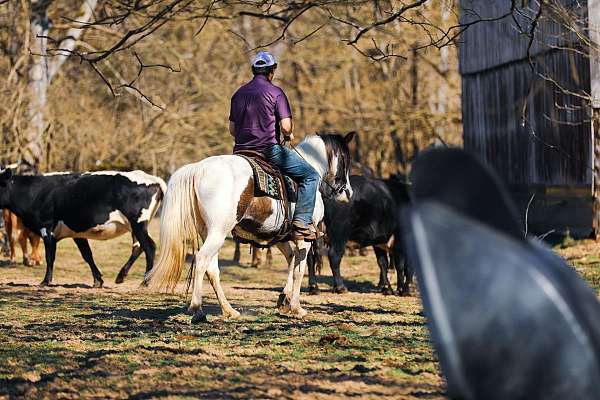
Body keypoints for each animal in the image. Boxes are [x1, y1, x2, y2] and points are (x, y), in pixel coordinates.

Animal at [0, 168, 164, 288]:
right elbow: (87, 255)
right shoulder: (77, 233)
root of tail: (151, 178)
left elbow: (50, 257)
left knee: (149, 247)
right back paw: (121, 276)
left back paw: (145, 281)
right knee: (138, 247)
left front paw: (46, 281)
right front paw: (98, 280)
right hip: (135, 226)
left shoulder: (47, 229)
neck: (35, 192)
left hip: (138, 223)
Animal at [147, 134, 354, 322]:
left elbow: (291, 261)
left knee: (211, 269)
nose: (348, 193)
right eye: (345, 158)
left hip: (208, 232)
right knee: (201, 260)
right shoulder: (303, 238)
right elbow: (299, 270)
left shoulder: (280, 237)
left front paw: (284, 300)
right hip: (218, 232)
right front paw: (296, 307)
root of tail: (199, 168)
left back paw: (229, 310)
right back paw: (197, 309)